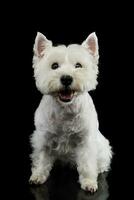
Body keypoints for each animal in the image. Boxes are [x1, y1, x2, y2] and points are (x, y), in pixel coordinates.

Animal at [29, 32, 112, 193]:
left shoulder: (85, 141)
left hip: (103, 147)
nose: (66, 78)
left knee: (103, 160)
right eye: (54, 66)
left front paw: (89, 182)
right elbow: (41, 157)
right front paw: (37, 176)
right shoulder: (43, 137)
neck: (65, 109)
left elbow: (87, 163)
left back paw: (99, 169)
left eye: (78, 65)